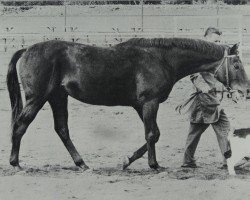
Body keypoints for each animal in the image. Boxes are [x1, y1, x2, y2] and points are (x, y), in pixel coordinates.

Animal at [5, 37, 250, 170]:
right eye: (237, 65)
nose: (245, 90)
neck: (161, 59)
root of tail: (27, 50)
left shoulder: (142, 105)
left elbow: (154, 134)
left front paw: (127, 160)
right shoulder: (150, 103)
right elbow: (151, 134)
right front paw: (154, 165)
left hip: (57, 97)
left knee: (62, 129)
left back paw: (82, 163)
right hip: (38, 98)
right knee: (20, 126)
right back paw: (16, 163)